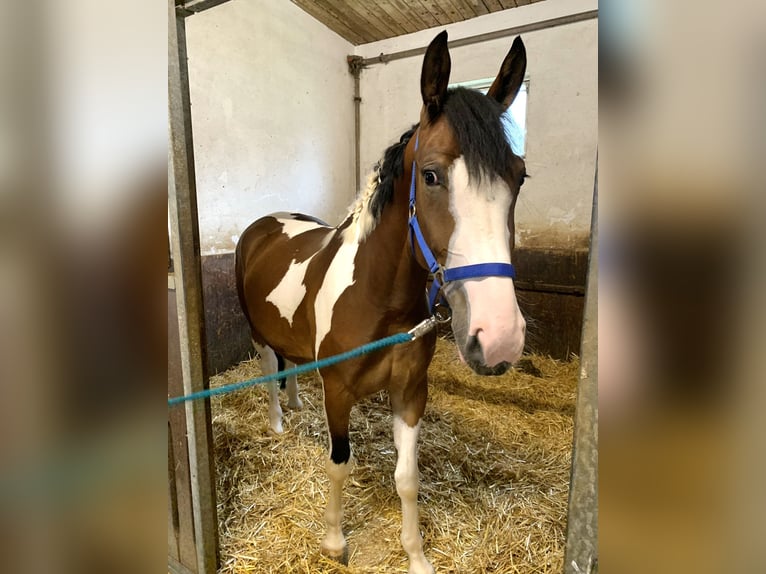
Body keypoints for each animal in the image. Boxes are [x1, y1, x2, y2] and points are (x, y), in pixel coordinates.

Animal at [237, 31, 532, 574]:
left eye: (519, 176)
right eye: (431, 176)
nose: (499, 337)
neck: (380, 301)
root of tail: (267, 223)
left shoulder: (410, 393)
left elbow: (407, 478)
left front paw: (415, 556)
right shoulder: (338, 394)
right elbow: (339, 464)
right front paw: (335, 542)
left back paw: (295, 402)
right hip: (257, 332)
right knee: (270, 368)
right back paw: (278, 421)